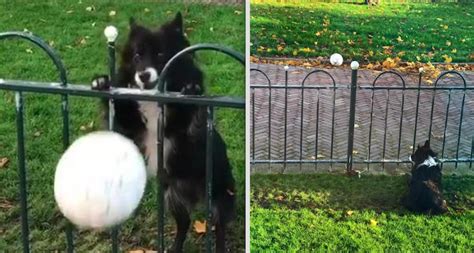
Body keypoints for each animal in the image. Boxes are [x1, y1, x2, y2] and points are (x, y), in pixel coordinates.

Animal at [91, 12, 235, 252]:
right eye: (137, 55)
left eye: (160, 54)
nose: (143, 75)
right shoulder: (130, 128)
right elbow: (117, 110)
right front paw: (102, 82)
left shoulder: (190, 132)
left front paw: (191, 90)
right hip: (171, 195)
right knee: (184, 222)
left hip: (218, 196)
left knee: (220, 227)